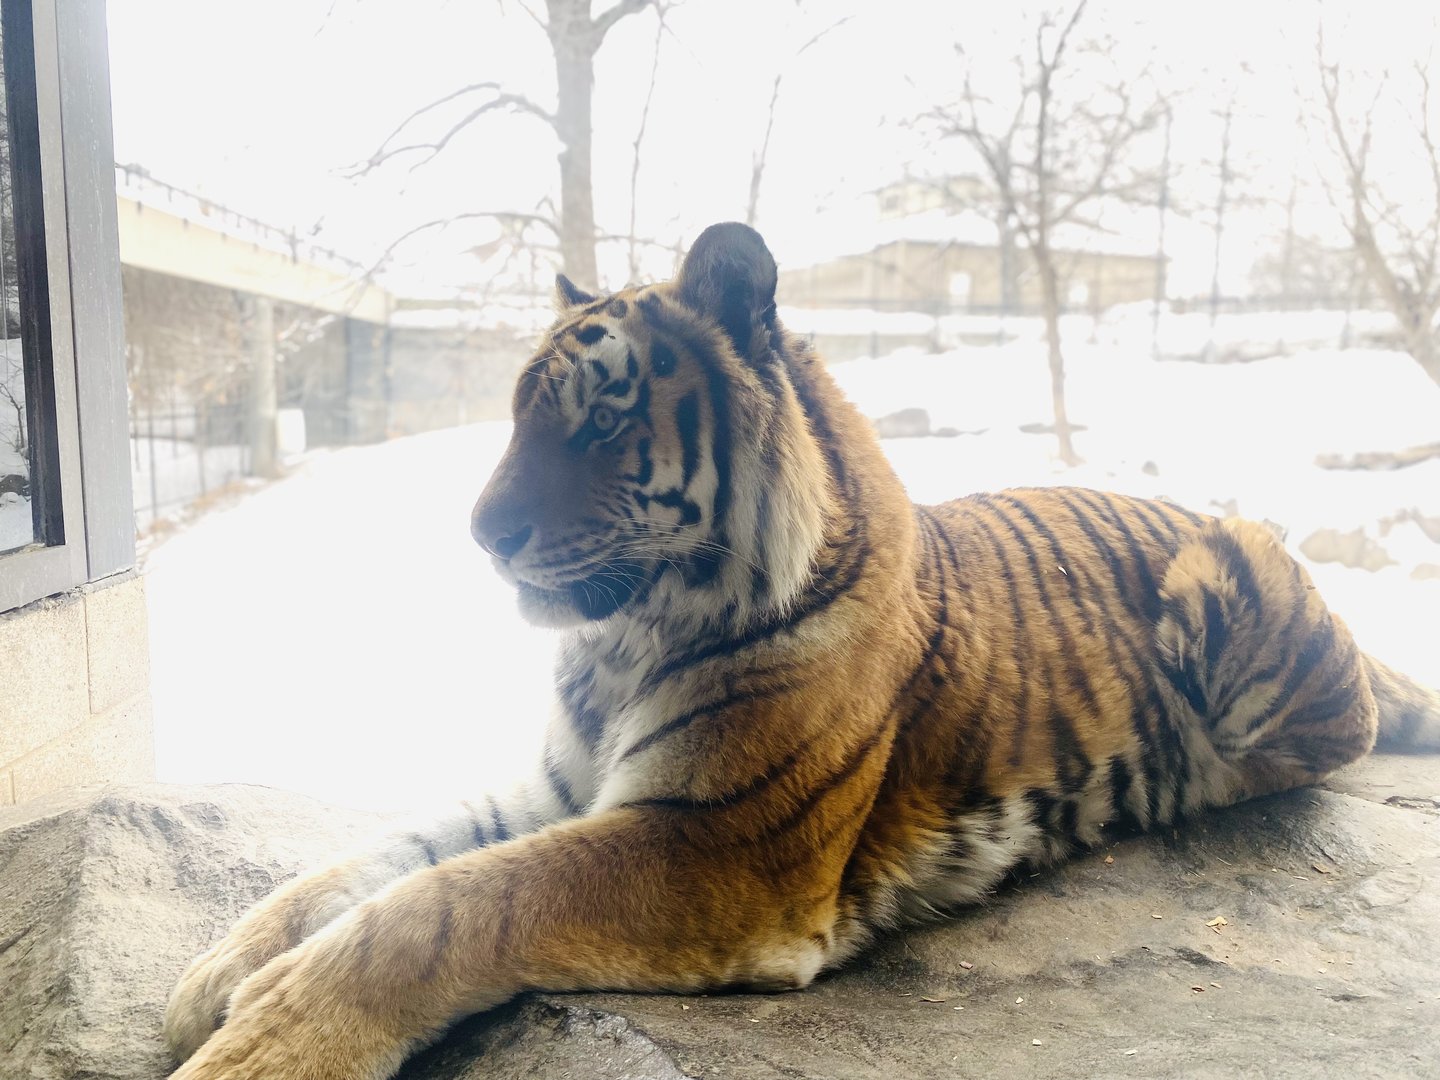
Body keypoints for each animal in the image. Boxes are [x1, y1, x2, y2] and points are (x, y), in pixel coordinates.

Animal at [164, 222, 1440, 1080]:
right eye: (521, 409)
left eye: (601, 418)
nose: (482, 535)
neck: (618, 645)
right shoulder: (557, 788)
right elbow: (381, 859)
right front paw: (214, 976)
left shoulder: (716, 843)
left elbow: (450, 903)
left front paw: (264, 1040)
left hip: (1229, 592)